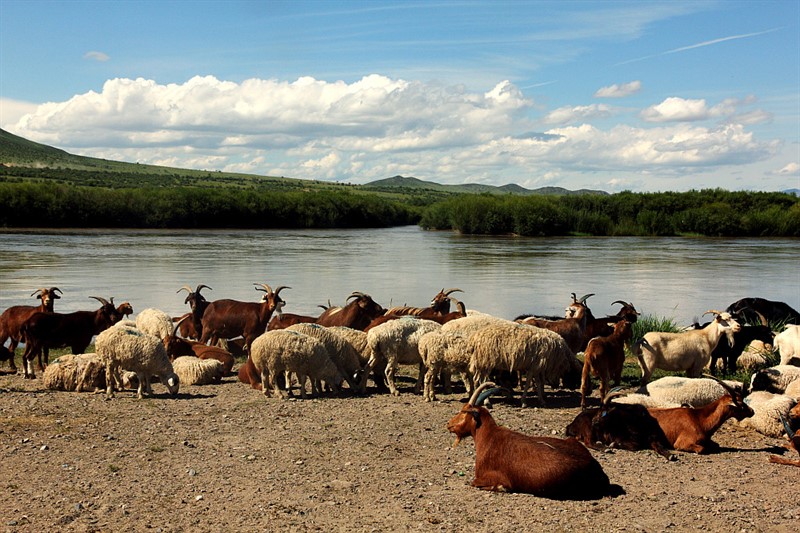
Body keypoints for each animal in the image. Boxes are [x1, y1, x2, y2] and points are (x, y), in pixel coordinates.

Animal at [446, 382, 620, 498]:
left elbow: (477, 483)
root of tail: (597, 470)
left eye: (463, 412)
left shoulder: (489, 476)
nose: (449, 424)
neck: (489, 436)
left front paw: (501, 488)